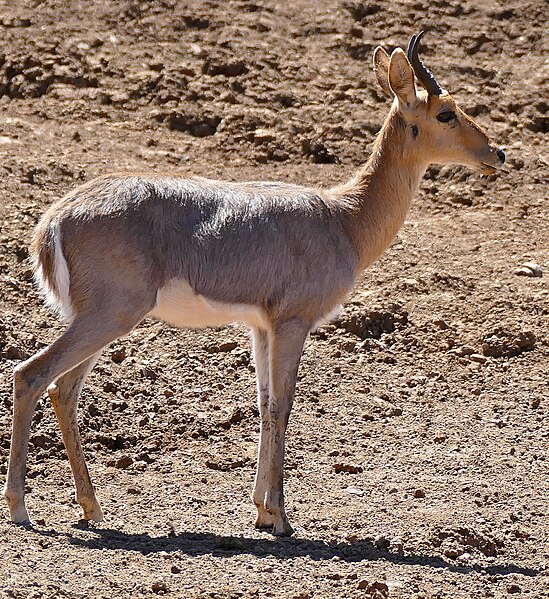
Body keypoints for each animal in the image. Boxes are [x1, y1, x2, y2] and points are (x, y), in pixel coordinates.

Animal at [3, 35, 506, 536]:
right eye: (446, 112)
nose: (497, 154)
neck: (343, 219)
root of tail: (55, 219)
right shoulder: (293, 323)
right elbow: (284, 405)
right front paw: (282, 518)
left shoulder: (261, 327)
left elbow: (264, 406)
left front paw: (262, 511)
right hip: (110, 317)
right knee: (31, 375)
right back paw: (21, 509)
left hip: (100, 320)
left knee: (63, 389)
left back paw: (92, 508)